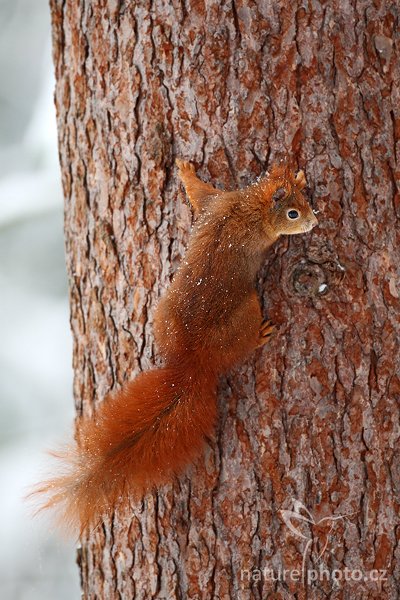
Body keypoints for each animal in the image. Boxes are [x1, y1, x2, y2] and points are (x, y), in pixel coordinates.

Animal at [32, 158, 318, 528]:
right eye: (293, 213)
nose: (315, 221)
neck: (247, 208)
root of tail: (192, 362)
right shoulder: (252, 227)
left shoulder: (217, 203)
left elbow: (199, 194)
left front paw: (186, 171)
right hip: (247, 310)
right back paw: (260, 335)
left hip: (163, 312)